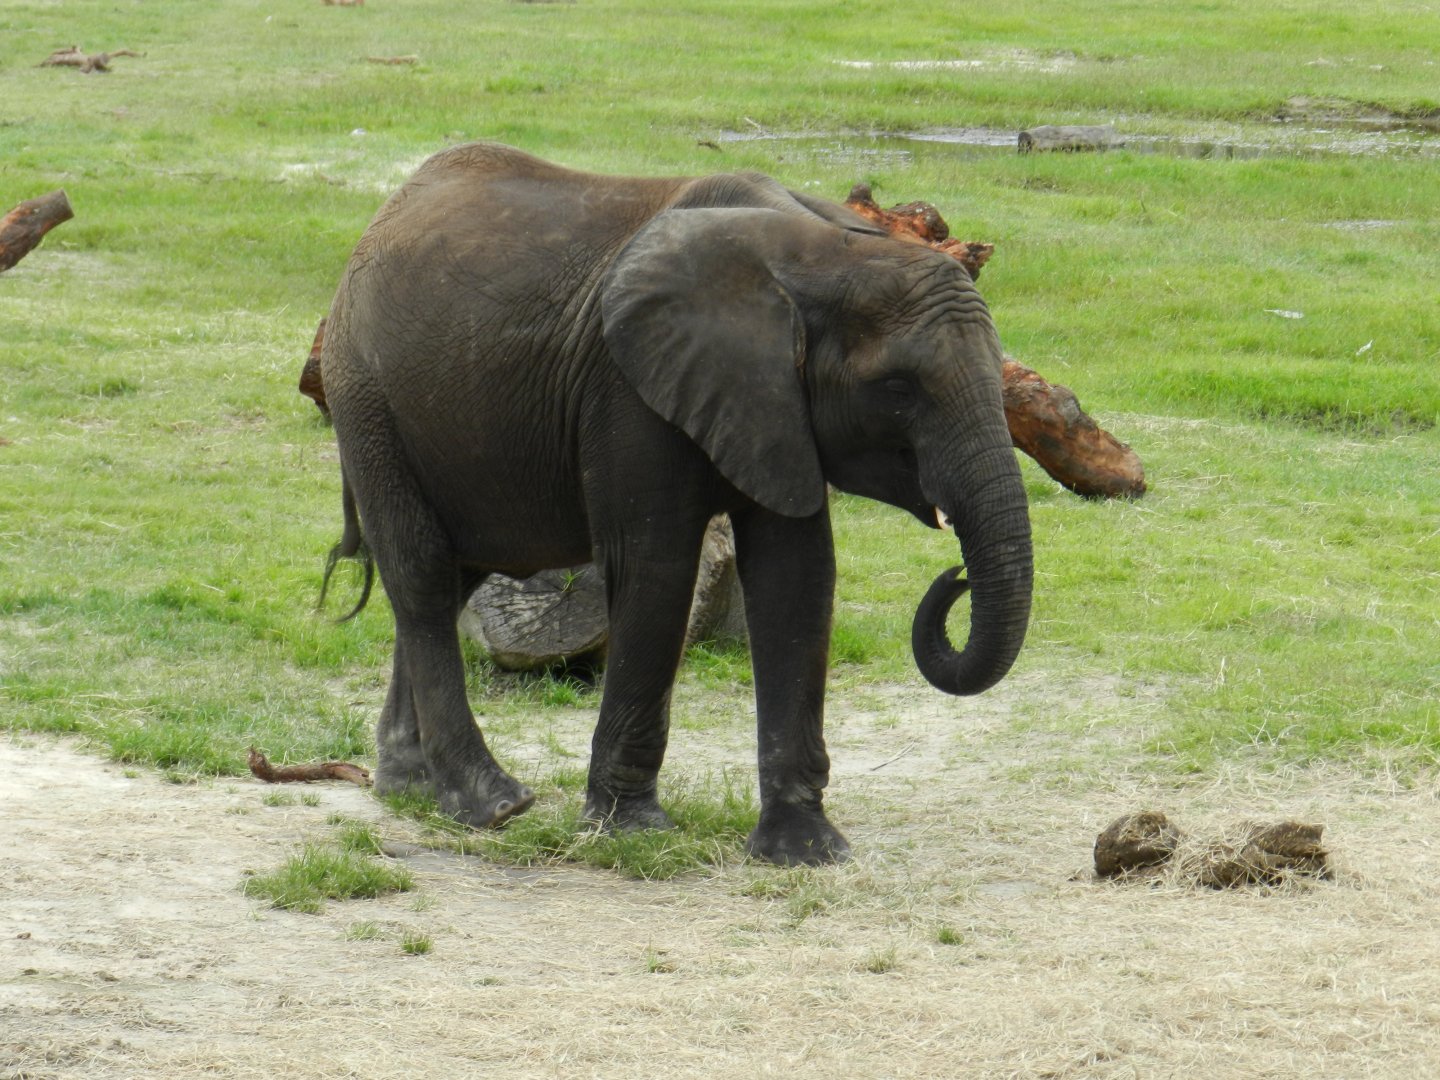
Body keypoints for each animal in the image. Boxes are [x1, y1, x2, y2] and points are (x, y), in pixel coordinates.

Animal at [318, 141, 1033, 865]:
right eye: (898, 388)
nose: (955, 575)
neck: (822, 252)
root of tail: (381, 219)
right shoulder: (626, 387)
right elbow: (656, 568)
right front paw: (628, 831)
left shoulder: (775, 406)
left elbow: (797, 577)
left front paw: (804, 849)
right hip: (367, 398)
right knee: (425, 577)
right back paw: (491, 804)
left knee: (456, 576)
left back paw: (409, 785)